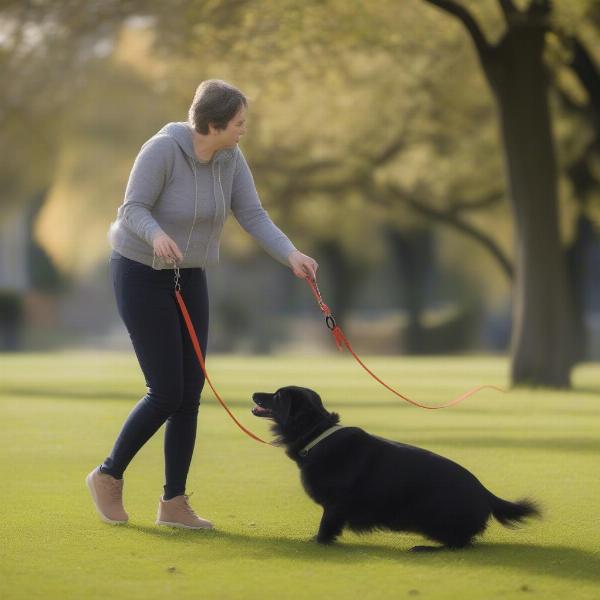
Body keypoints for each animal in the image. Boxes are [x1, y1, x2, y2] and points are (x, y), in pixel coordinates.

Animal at [251, 386, 540, 552]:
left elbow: (326, 526)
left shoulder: (335, 506)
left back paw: (427, 548)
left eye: (277, 396)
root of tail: (484, 491)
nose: (254, 394)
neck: (317, 435)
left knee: (461, 543)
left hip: (435, 515)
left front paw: (318, 542)